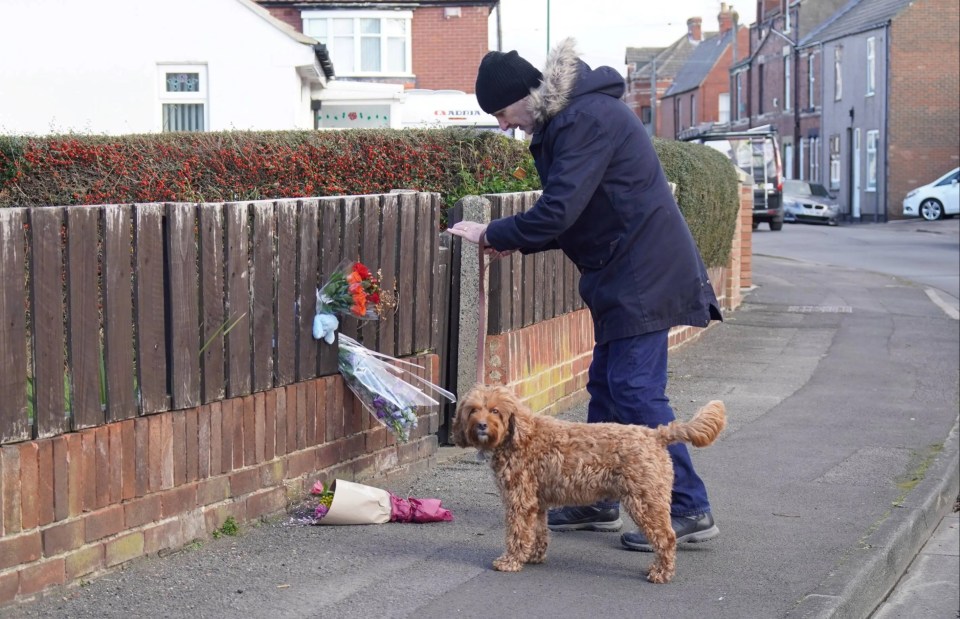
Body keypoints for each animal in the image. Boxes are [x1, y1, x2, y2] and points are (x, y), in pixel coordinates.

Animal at [454, 386, 724, 584]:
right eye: (473, 410)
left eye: (495, 411)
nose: (481, 425)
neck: (518, 436)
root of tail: (655, 435)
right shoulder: (537, 503)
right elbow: (538, 531)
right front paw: (534, 555)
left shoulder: (520, 500)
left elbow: (517, 533)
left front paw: (510, 561)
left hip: (645, 499)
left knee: (666, 538)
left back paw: (661, 572)